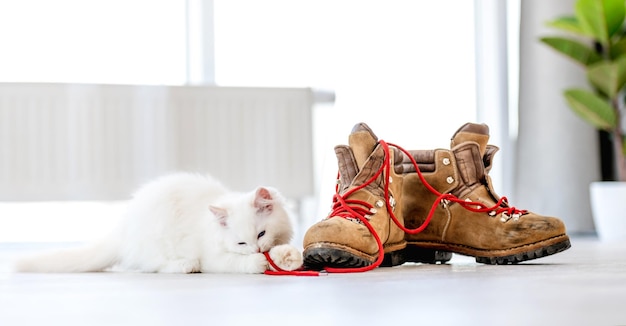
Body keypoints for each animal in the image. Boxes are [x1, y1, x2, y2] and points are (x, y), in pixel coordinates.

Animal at [12, 172, 300, 274]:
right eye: (241, 243)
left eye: (261, 234)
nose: (256, 249)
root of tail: (123, 228)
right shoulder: (213, 257)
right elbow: (234, 263)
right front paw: (257, 262)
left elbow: (281, 251)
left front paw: (283, 257)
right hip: (158, 242)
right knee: (154, 265)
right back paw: (186, 266)